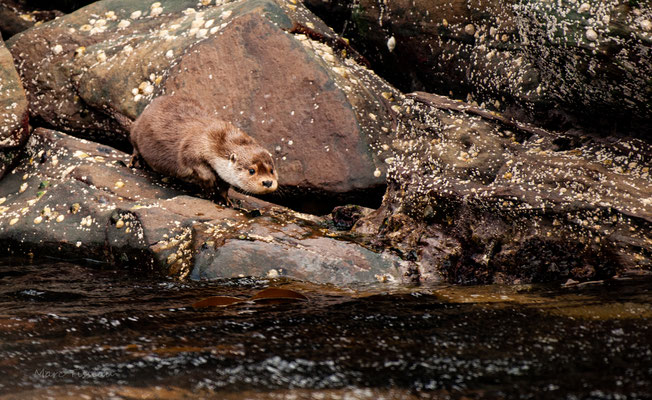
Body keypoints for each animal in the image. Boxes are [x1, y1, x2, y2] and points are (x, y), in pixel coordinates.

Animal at [129, 95, 278, 205]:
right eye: (252, 170)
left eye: (271, 170)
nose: (268, 182)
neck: (214, 141)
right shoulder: (190, 150)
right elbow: (201, 171)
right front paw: (210, 189)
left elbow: (224, 186)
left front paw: (224, 199)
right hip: (136, 131)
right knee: (135, 147)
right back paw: (137, 162)